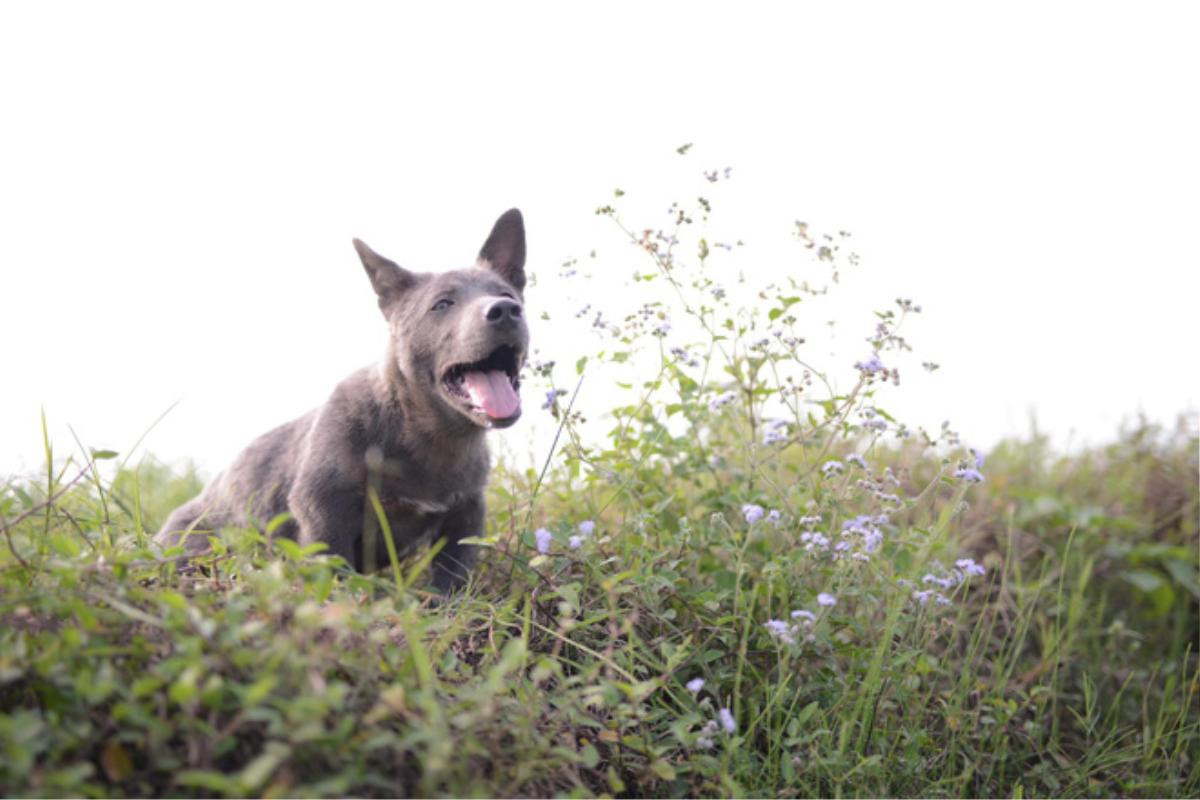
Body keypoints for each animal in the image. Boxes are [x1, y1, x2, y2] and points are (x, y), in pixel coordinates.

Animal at [152, 209, 528, 592]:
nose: (505, 309)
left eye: (507, 294)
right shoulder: (323, 506)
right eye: (442, 304)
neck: (428, 434)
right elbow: (334, 566)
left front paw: (444, 601)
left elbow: (452, 572)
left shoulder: (466, 514)